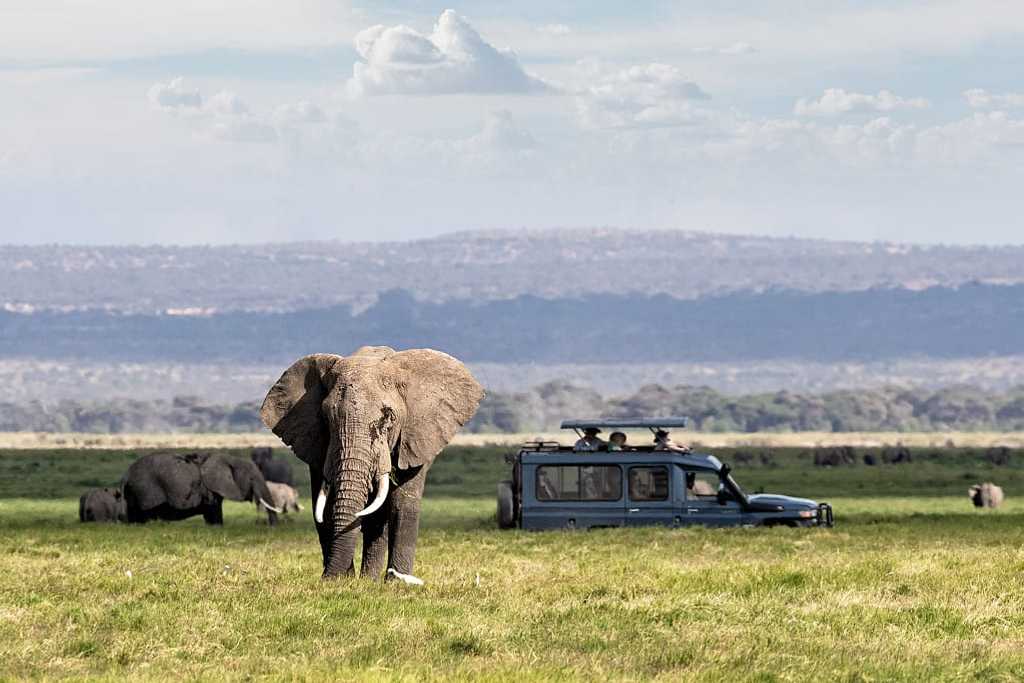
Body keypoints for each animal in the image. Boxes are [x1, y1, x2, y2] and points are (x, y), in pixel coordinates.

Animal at [122, 450, 282, 528]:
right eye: (251, 479)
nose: (272, 527)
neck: (229, 458)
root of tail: (126, 476)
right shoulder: (208, 488)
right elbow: (213, 509)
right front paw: (217, 528)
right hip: (145, 489)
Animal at [260, 348, 483, 581]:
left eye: (389, 419)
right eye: (327, 419)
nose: (327, 577)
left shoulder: (416, 440)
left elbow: (402, 504)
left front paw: (396, 583)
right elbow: (325, 506)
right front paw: (340, 581)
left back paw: (372, 580)